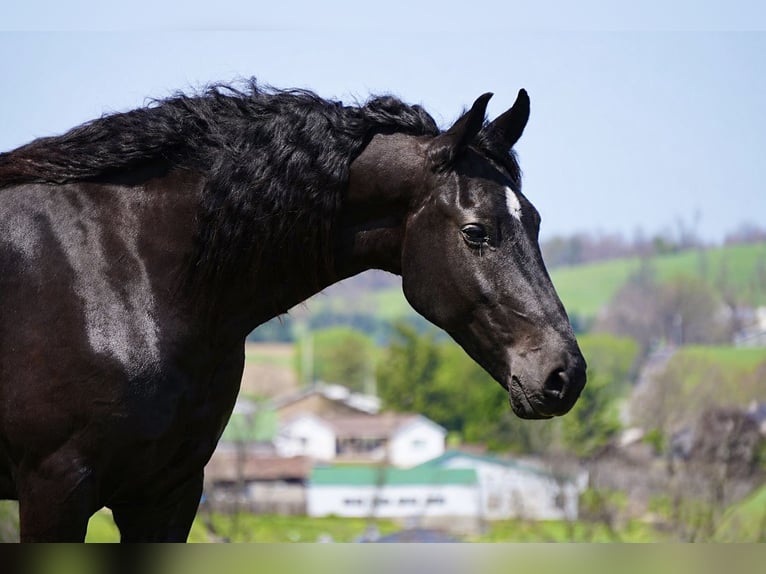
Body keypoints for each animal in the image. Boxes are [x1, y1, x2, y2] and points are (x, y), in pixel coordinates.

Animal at [0, 80, 586, 541]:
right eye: (475, 232)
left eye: (534, 221)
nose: (565, 374)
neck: (122, 268)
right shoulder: (56, 488)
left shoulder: (168, 492)